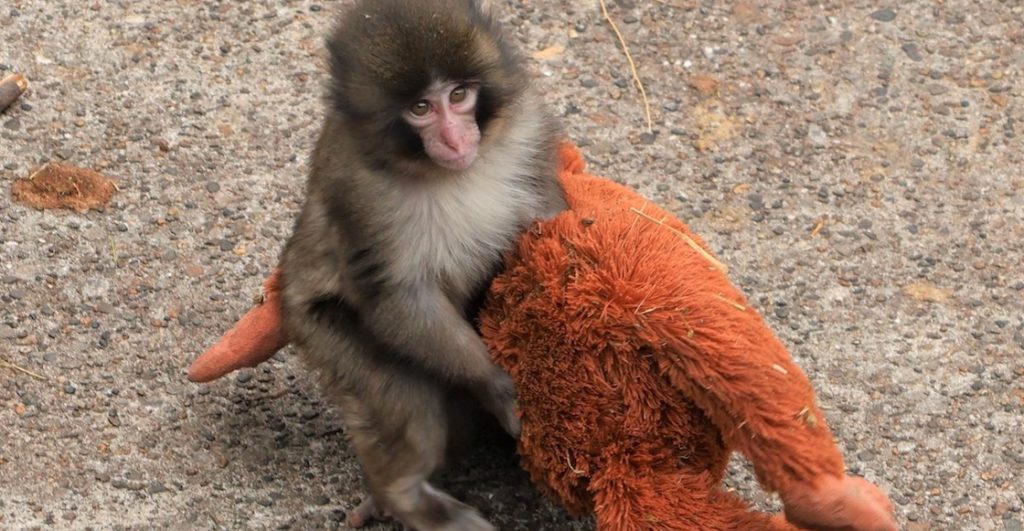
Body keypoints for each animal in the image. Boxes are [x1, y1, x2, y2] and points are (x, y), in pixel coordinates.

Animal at [278, 0, 566, 529]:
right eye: (420, 109)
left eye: (458, 95)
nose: (455, 139)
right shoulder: (360, 192)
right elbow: (397, 296)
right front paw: (495, 384)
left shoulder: (527, 130)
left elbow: (549, 219)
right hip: (319, 330)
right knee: (410, 400)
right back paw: (402, 495)